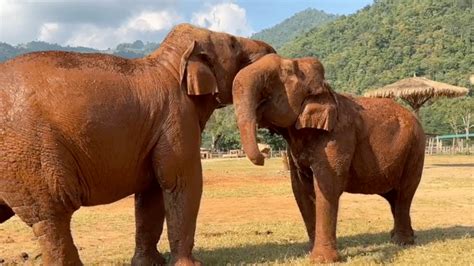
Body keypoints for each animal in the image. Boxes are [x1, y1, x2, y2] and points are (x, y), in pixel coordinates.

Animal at [0, 23, 276, 264]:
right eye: (232, 43)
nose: (264, 157)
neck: (170, 63)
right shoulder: (177, 118)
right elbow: (181, 181)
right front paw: (190, 265)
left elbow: (151, 191)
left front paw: (149, 262)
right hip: (30, 154)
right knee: (51, 215)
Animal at [233, 53, 426, 262]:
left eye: (285, 72)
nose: (262, 156)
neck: (326, 89)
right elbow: (301, 189)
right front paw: (310, 252)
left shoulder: (338, 136)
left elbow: (328, 186)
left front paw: (322, 260)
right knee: (394, 197)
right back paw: (399, 238)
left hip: (416, 150)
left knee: (404, 194)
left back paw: (402, 241)